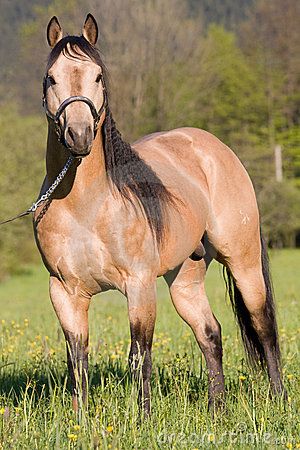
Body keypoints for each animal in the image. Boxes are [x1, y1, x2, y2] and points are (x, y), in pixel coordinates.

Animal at [35, 14, 286, 414]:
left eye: (98, 76)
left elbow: (140, 356)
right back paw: (217, 409)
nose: (79, 134)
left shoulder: (139, 286)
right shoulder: (64, 291)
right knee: (210, 333)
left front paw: (143, 418)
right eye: (51, 78)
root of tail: (214, 147)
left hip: (242, 260)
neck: (85, 207)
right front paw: (80, 420)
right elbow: (78, 360)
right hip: (185, 278)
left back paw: (278, 399)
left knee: (263, 327)